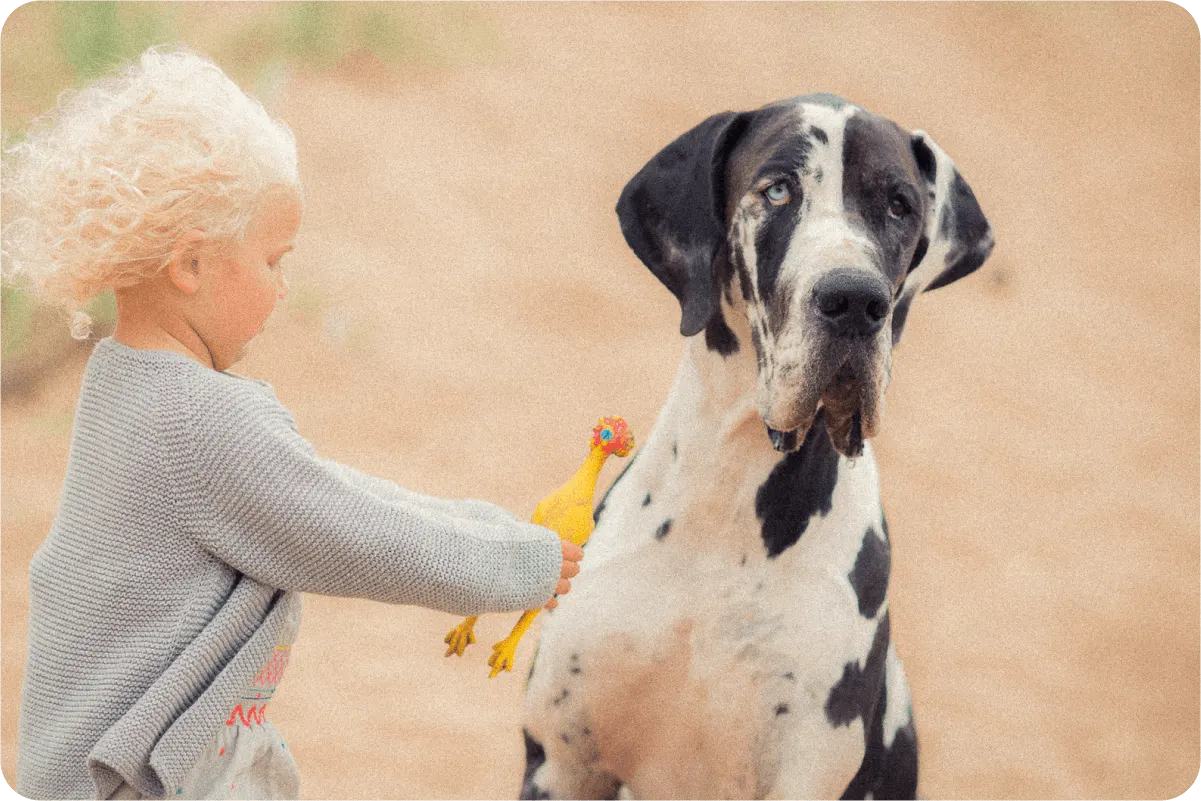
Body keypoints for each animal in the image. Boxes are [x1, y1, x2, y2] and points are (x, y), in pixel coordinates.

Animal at [521, 94, 989, 801]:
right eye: (777, 191)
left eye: (899, 206)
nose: (856, 300)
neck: (727, 504)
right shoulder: (561, 762)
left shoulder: (803, 771)